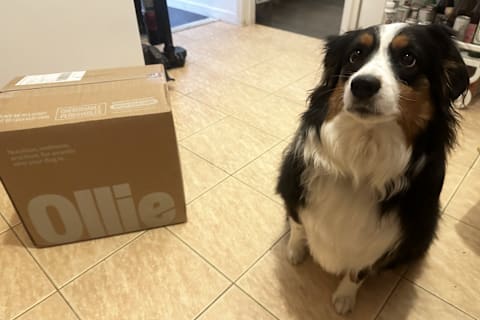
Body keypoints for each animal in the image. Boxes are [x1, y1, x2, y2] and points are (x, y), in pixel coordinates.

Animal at [278, 23, 468, 316]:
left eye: (408, 58)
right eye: (355, 55)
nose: (362, 85)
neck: (362, 160)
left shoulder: (385, 239)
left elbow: (359, 271)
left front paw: (344, 299)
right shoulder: (293, 187)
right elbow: (298, 224)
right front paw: (295, 251)